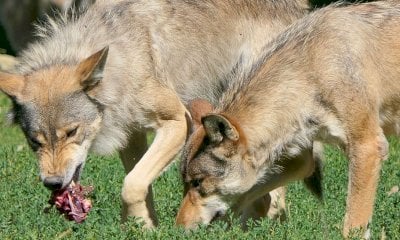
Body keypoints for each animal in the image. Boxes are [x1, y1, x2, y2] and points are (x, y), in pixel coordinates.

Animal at [0, 0, 310, 228]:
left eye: (72, 132)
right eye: (34, 142)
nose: (52, 184)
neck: (121, 62)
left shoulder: (177, 121)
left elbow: (132, 184)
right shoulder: (131, 135)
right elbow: (139, 185)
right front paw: (142, 228)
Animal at [177, 1, 400, 238]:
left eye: (198, 183)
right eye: (185, 184)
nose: (177, 229)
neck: (310, 73)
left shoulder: (367, 147)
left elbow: (353, 224)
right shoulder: (301, 161)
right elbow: (250, 196)